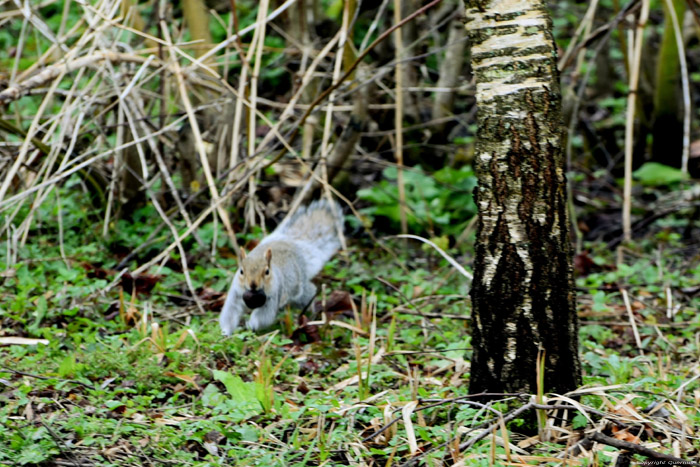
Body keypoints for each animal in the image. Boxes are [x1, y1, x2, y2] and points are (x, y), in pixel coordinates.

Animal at [216, 199, 342, 334]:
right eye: (241, 271)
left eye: (267, 271)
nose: (253, 284)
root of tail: (289, 242)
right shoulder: (235, 294)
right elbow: (230, 312)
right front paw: (226, 331)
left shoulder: (273, 296)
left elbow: (264, 316)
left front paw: (251, 325)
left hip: (298, 291)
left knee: (309, 293)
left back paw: (311, 312)